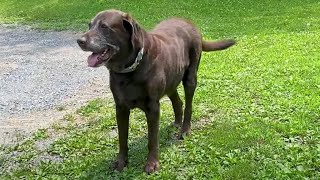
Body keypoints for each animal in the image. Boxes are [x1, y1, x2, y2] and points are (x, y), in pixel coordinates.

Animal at [76, 9, 234, 174]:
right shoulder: (120, 107)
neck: (129, 70)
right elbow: (122, 138)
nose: (80, 41)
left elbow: (152, 139)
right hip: (171, 78)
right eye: (89, 25)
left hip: (190, 77)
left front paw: (152, 163)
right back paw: (177, 122)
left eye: (104, 27)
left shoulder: (152, 107)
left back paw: (185, 129)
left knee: (189, 105)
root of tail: (189, 22)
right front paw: (121, 162)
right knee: (177, 101)